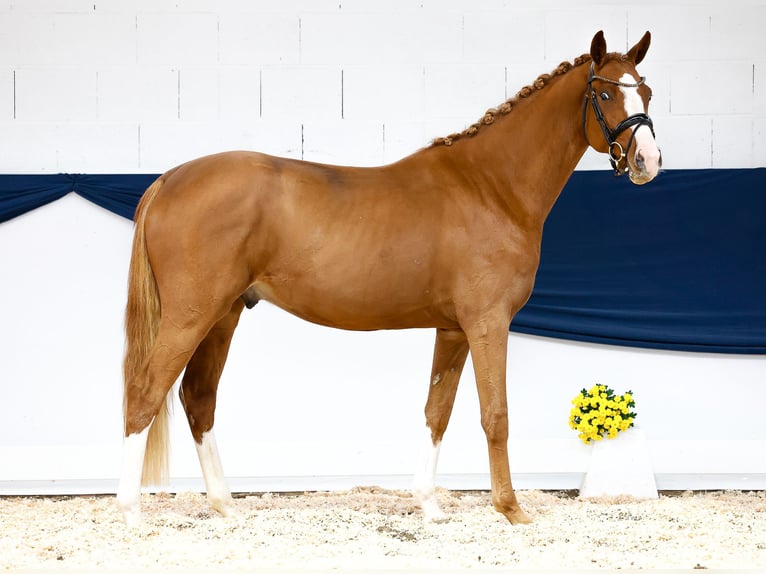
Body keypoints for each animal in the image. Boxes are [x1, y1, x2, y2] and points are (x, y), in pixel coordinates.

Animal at [117, 30, 664, 528]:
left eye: (647, 92)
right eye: (605, 94)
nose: (648, 162)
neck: (490, 187)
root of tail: (168, 180)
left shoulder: (454, 329)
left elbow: (437, 411)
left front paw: (429, 506)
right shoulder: (488, 324)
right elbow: (496, 415)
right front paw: (511, 510)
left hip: (223, 315)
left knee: (198, 398)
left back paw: (225, 506)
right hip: (191, 316)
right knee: (144, 392)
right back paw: (131, 514)